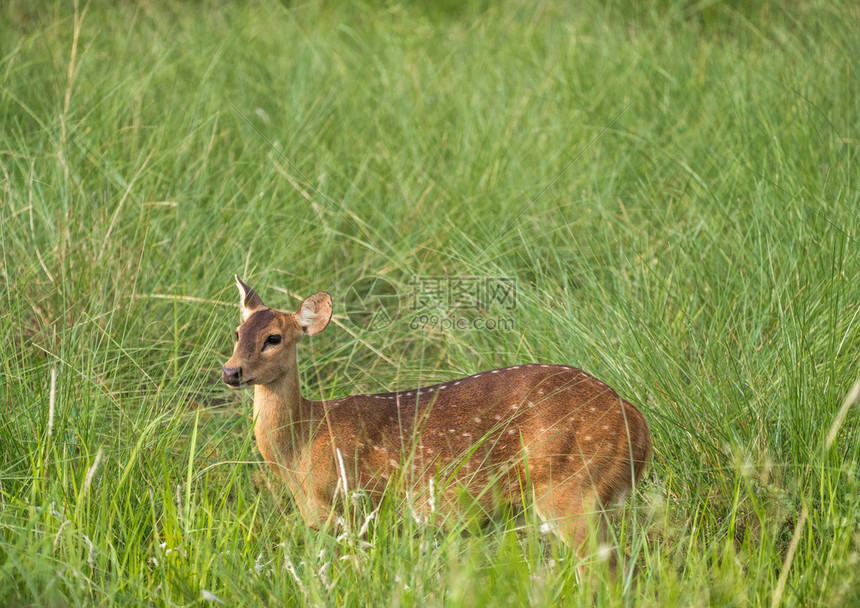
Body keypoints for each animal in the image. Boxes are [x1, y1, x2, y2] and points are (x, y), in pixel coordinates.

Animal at [222, 276, 652, 576]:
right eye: (238, 333)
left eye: (274, 338)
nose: (231, 371)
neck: (302, 445)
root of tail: (636, 424)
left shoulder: (360, 509)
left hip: (571, 488)